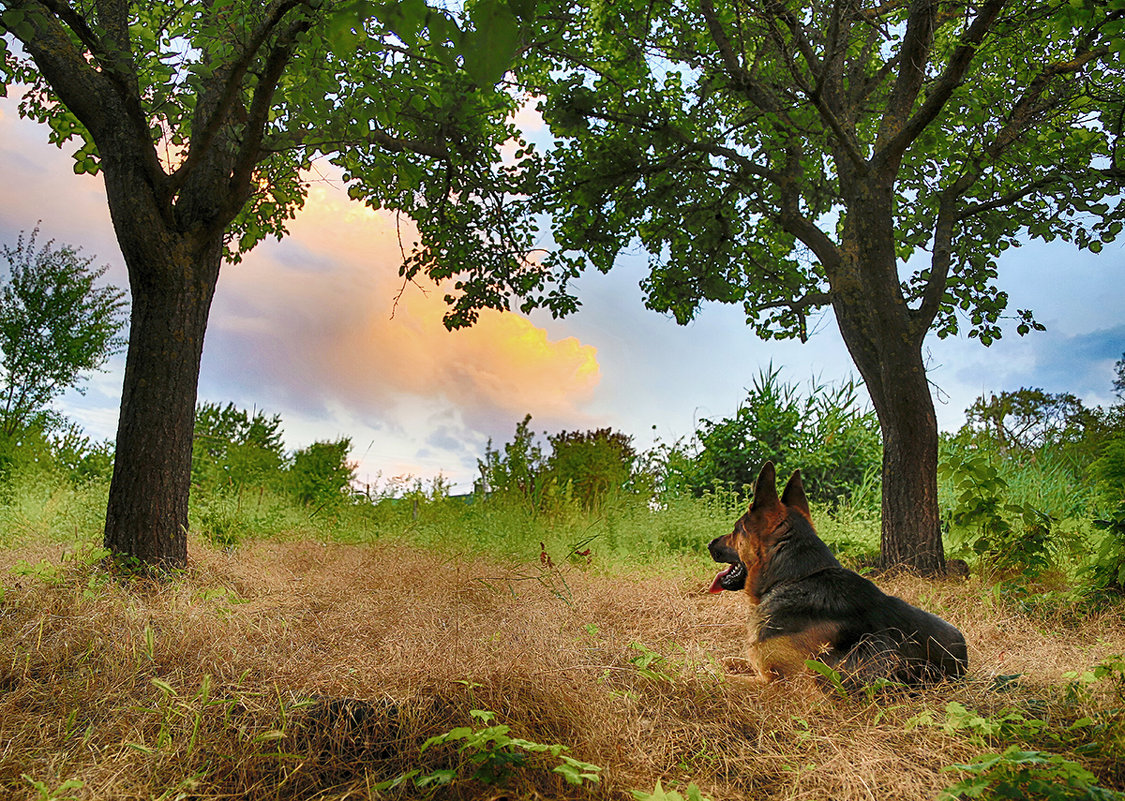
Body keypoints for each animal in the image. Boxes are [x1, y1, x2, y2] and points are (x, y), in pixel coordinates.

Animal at [711, 463, 967, 684]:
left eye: (735, 529)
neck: (795, 578)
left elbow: (720, 679)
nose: (710, 543)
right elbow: (735, 661)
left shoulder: (780, 683)